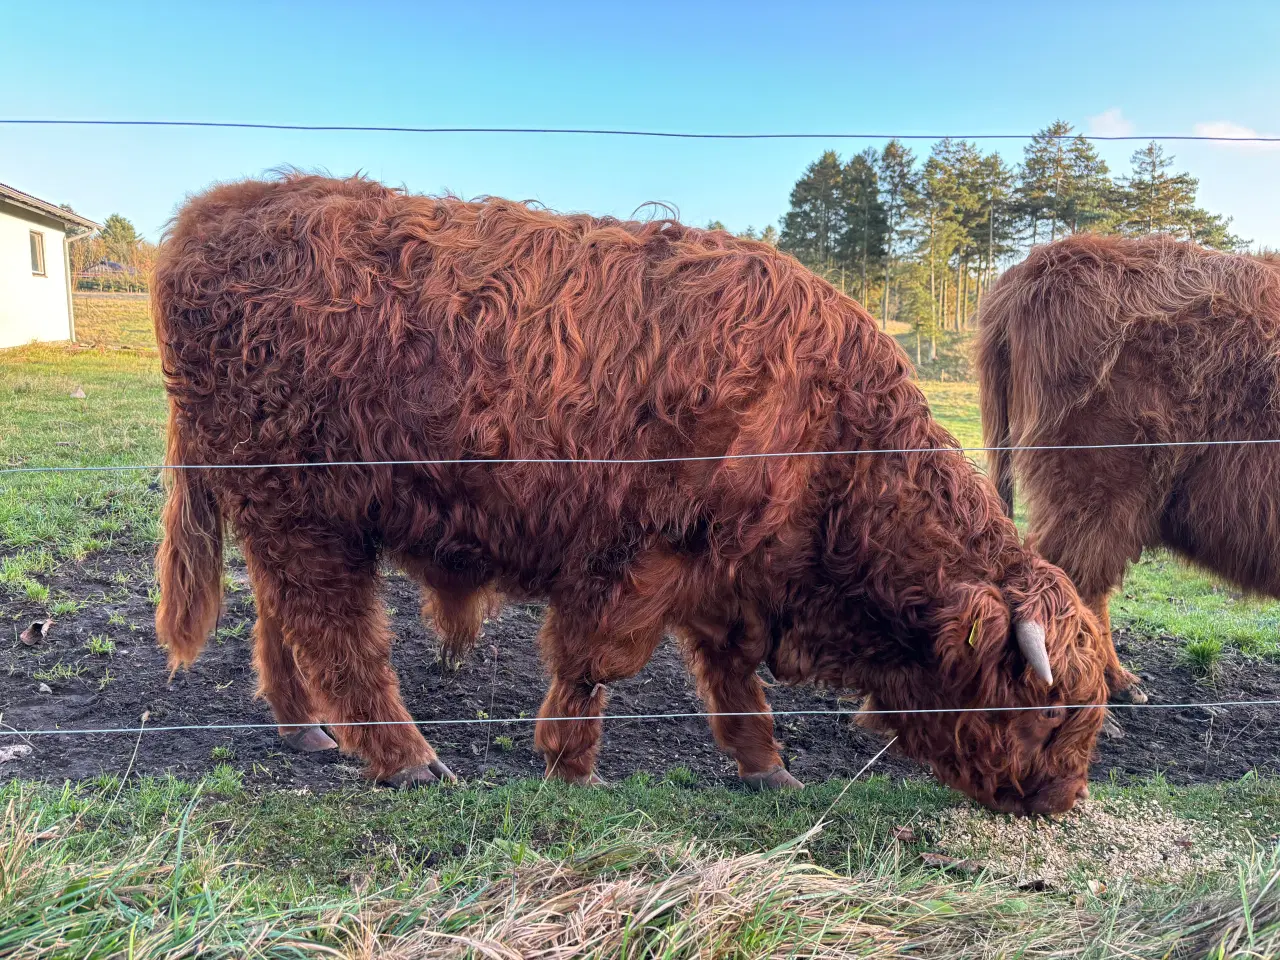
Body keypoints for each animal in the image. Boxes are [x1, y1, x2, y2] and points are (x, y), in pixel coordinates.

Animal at [149, 172, 1111, 814]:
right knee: (337, 634)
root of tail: (222, 209)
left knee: (283, 620)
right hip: (303, 509)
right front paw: (571, 764)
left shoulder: (727, 569)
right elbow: (596, 663)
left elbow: (729, 673)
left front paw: (767, 765)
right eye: (1051, 706)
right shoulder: (640, 554)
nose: (1065, 798)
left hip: (290, 514)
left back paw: (301, 730)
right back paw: (405, 757)